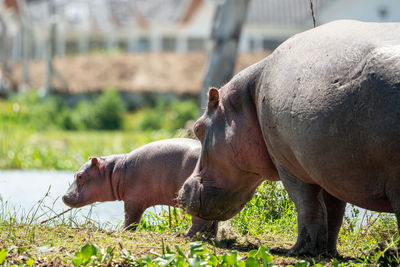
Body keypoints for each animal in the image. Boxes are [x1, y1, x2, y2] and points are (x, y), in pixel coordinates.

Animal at [62, 139, 217, 238]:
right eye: (74, 174)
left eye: (80, 176)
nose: (64, 196)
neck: (115, 170)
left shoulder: (133, 199)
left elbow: (130, 218)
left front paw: (121, 231)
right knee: (213, 222)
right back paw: (210, 237)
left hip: (196, 201)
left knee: (201, 221)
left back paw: (186, 235)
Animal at [178, 19, 400, 256]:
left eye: (198, 128)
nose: (182, 191)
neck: (248, 96)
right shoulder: (330, 169)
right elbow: (333, 211)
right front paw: (328, 252)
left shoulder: (289, 166)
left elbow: (306, 204)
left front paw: (299, 251)